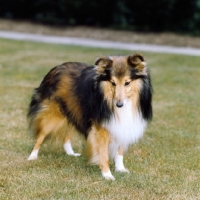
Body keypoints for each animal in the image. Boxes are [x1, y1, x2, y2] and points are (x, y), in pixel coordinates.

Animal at [27, 52, 152, 180]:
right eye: (113, 83)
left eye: (127, 83)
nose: (119, 104)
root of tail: (56, 68)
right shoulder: (101, 128)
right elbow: (103, 154)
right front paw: (107, 174)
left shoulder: (124, 125)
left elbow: (119, 151)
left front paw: (120, 169)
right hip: (52, 116)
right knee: (40, 136)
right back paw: (32, 156)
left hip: (73, 111)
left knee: (66, 135)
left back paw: (71, 153)